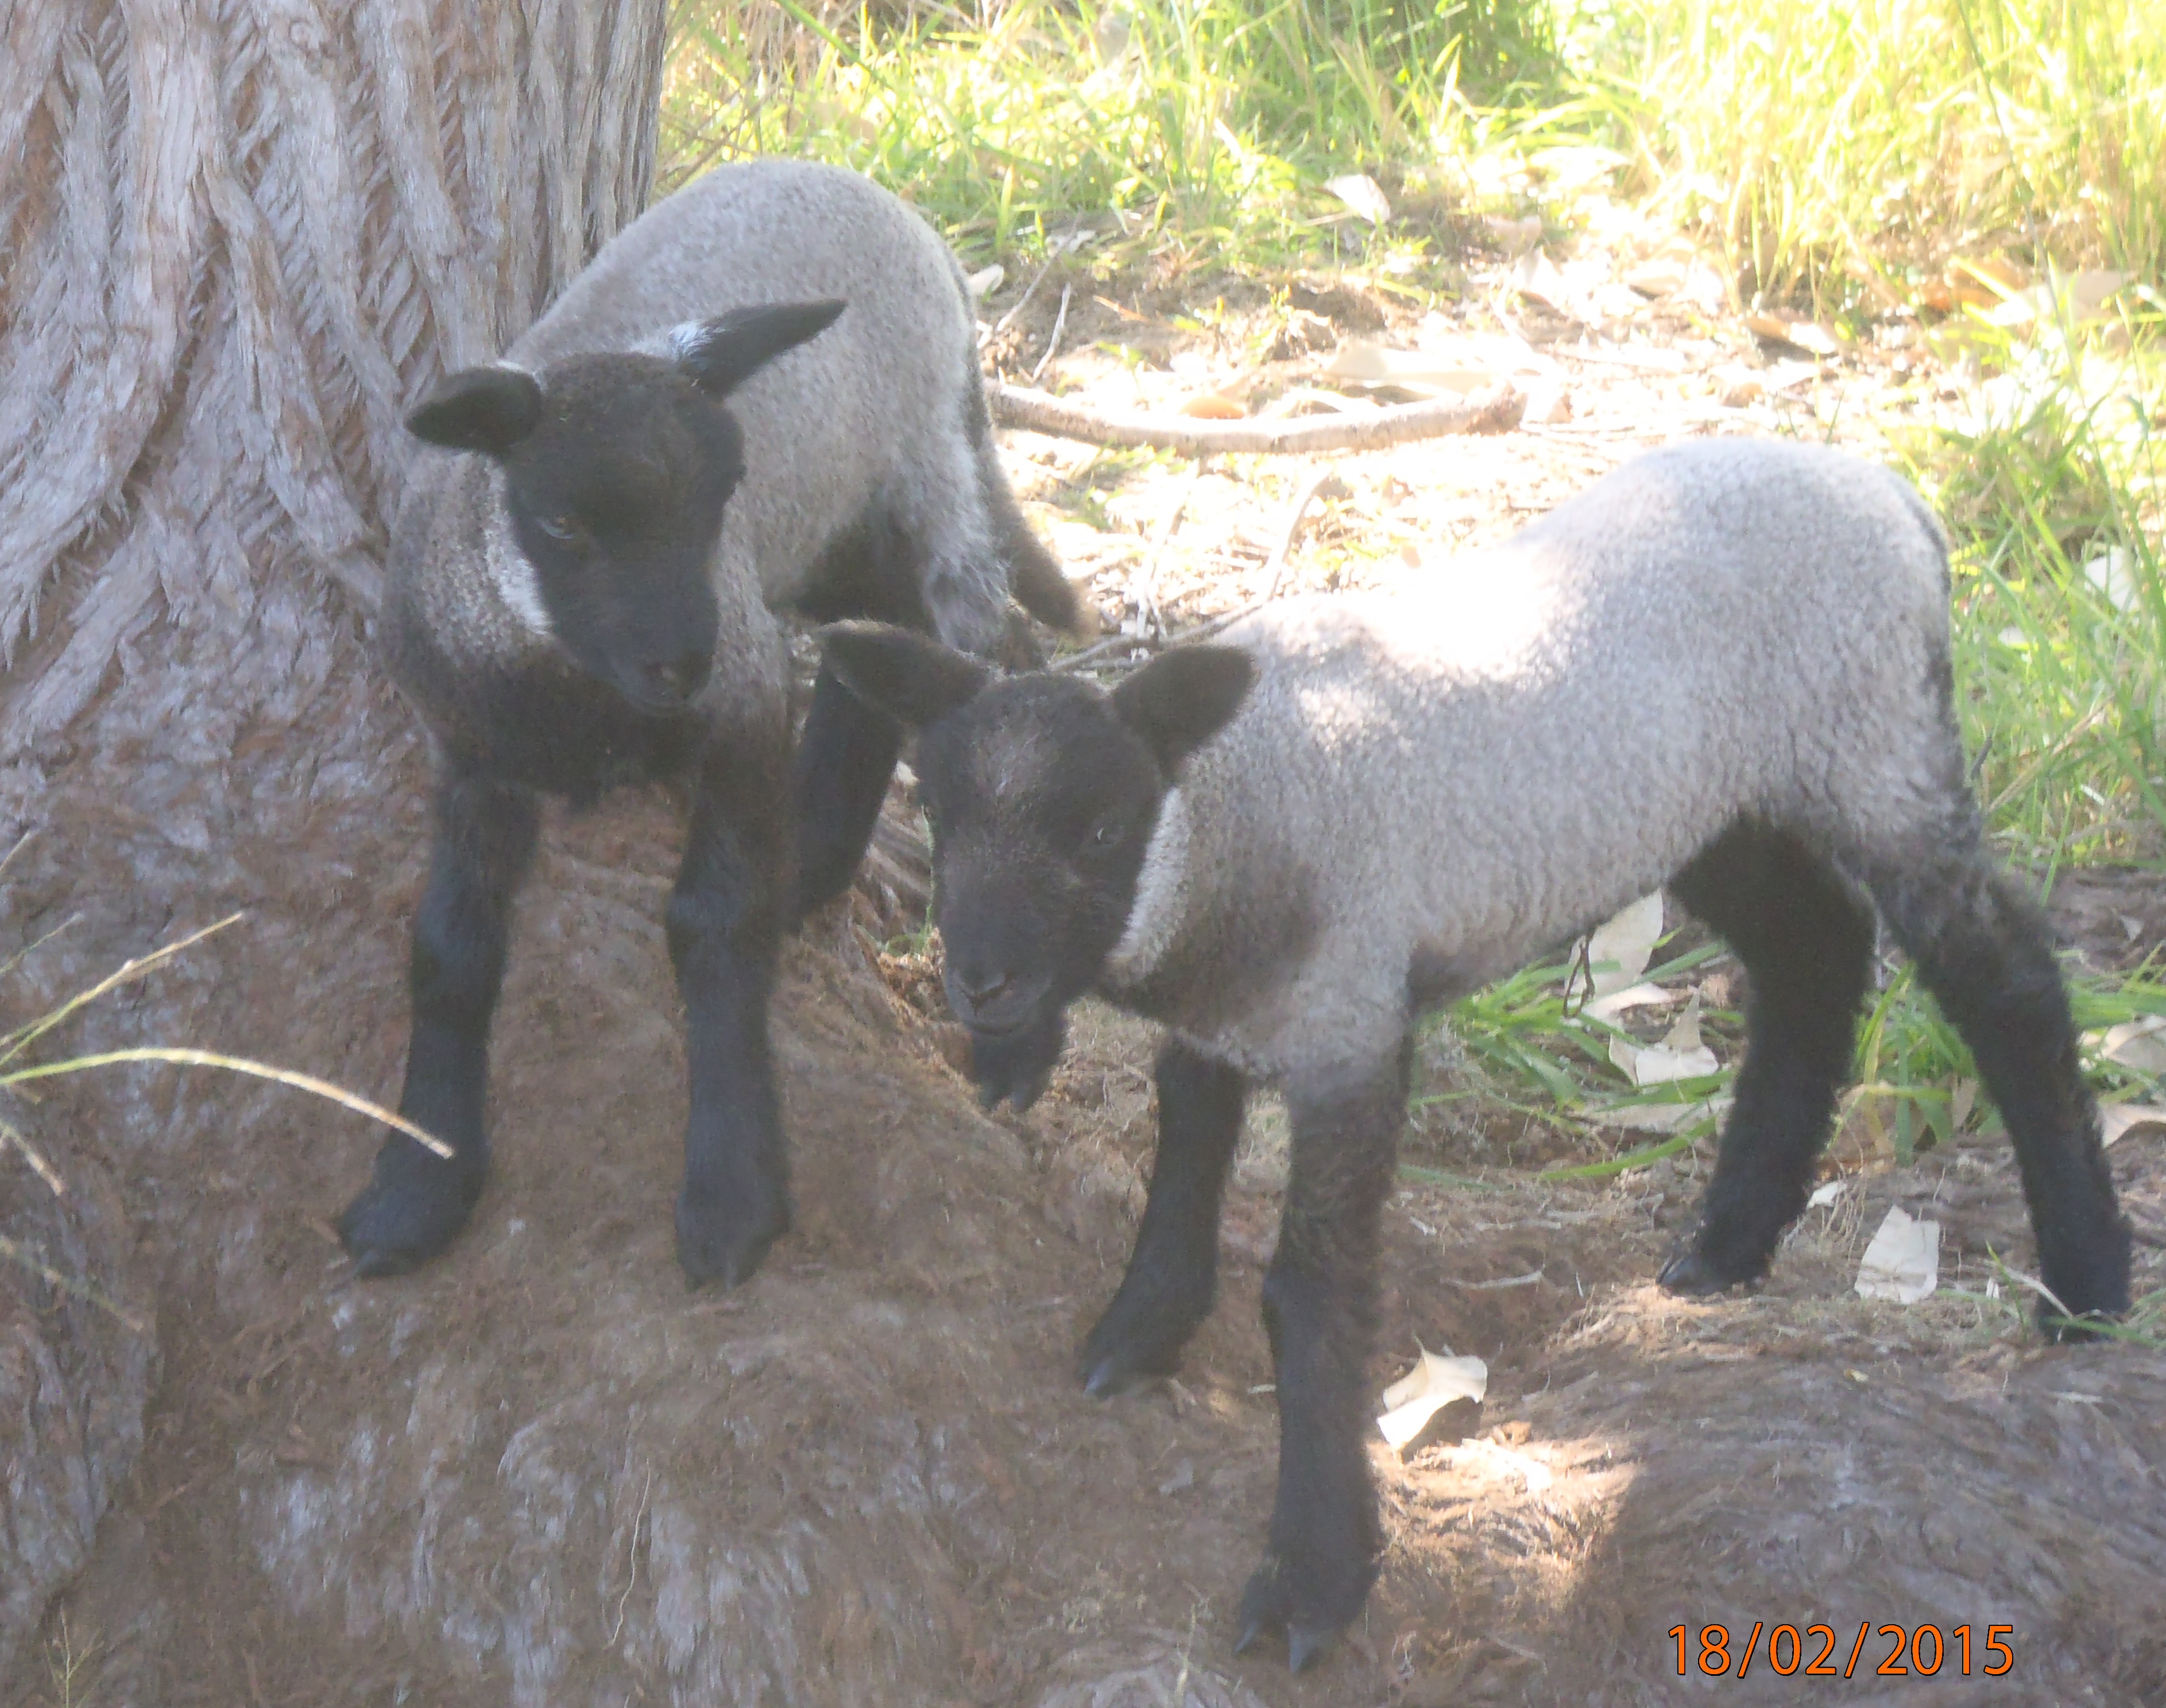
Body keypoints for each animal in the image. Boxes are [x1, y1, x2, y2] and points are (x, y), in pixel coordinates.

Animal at [335, 160, 1074, 1290]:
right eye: (562, 522)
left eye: (724, 493)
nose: (685, 660)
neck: (572, 690)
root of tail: (879, 197)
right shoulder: (468, 757)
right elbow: (448, 949)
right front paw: (416, 1183)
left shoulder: (743, 708)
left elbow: (712, 923)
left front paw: (732, 1194)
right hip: (833, 525)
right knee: (876, 638)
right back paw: (815, 858)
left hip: (925, 474)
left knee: (984, 647)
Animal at [818, 437, 2140, 1662]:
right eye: (936, 812)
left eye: (1099, 828)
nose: (979, 981)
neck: (1235, 825)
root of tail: (1894, 497)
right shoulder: (1227, 1021)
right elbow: (1179, 1168)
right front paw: (1137, 1334)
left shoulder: (1349, 1027)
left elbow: (1311, 1297)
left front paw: (1313, 1577)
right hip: (1701, 795)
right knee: (1812, 952)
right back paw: (1728, 1239)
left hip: (1875, 749)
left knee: (2006, 979)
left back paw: (2085, 1284)